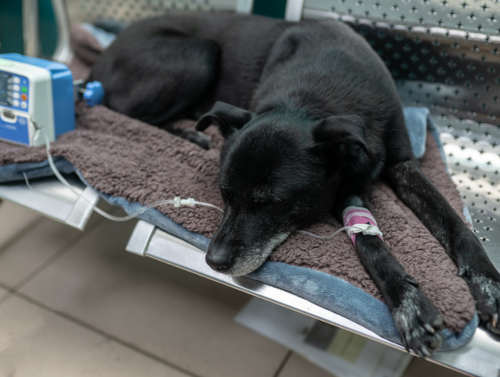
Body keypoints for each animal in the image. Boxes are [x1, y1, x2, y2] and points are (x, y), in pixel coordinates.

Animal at [91, 11, 500, 352]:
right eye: (224, 194)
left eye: (271, 202)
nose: (214, 260)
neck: (315, 95)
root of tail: (102, 57)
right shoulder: (343, 189)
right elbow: (370, 244)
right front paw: (408, 301)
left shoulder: (401, 164)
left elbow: (452, 221)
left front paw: (488, 285)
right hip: (199, 55)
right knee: (121, 108)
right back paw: (189, 133)